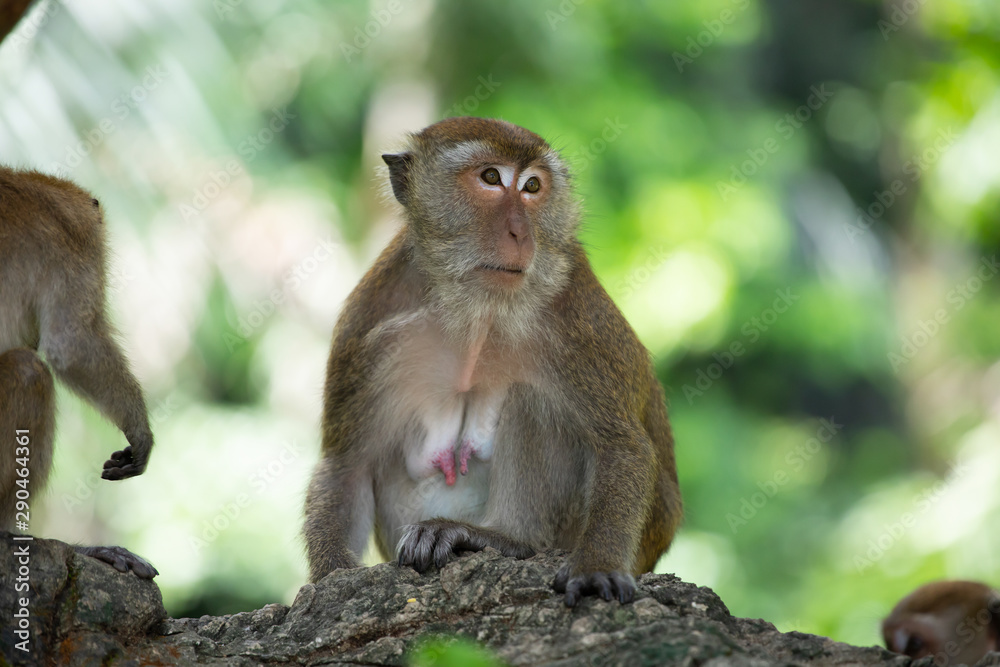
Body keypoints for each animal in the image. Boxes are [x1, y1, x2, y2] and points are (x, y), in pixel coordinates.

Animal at [302, 117, 680, 608]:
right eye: (490, 178)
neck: (477, 308)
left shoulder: (575, 321)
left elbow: (621, 446)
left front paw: (596, 566)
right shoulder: (369, 326)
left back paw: (504, 538)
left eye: (533, 186)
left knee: (532, 400)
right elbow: (347, 464)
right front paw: (330, 582)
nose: (521, 232)